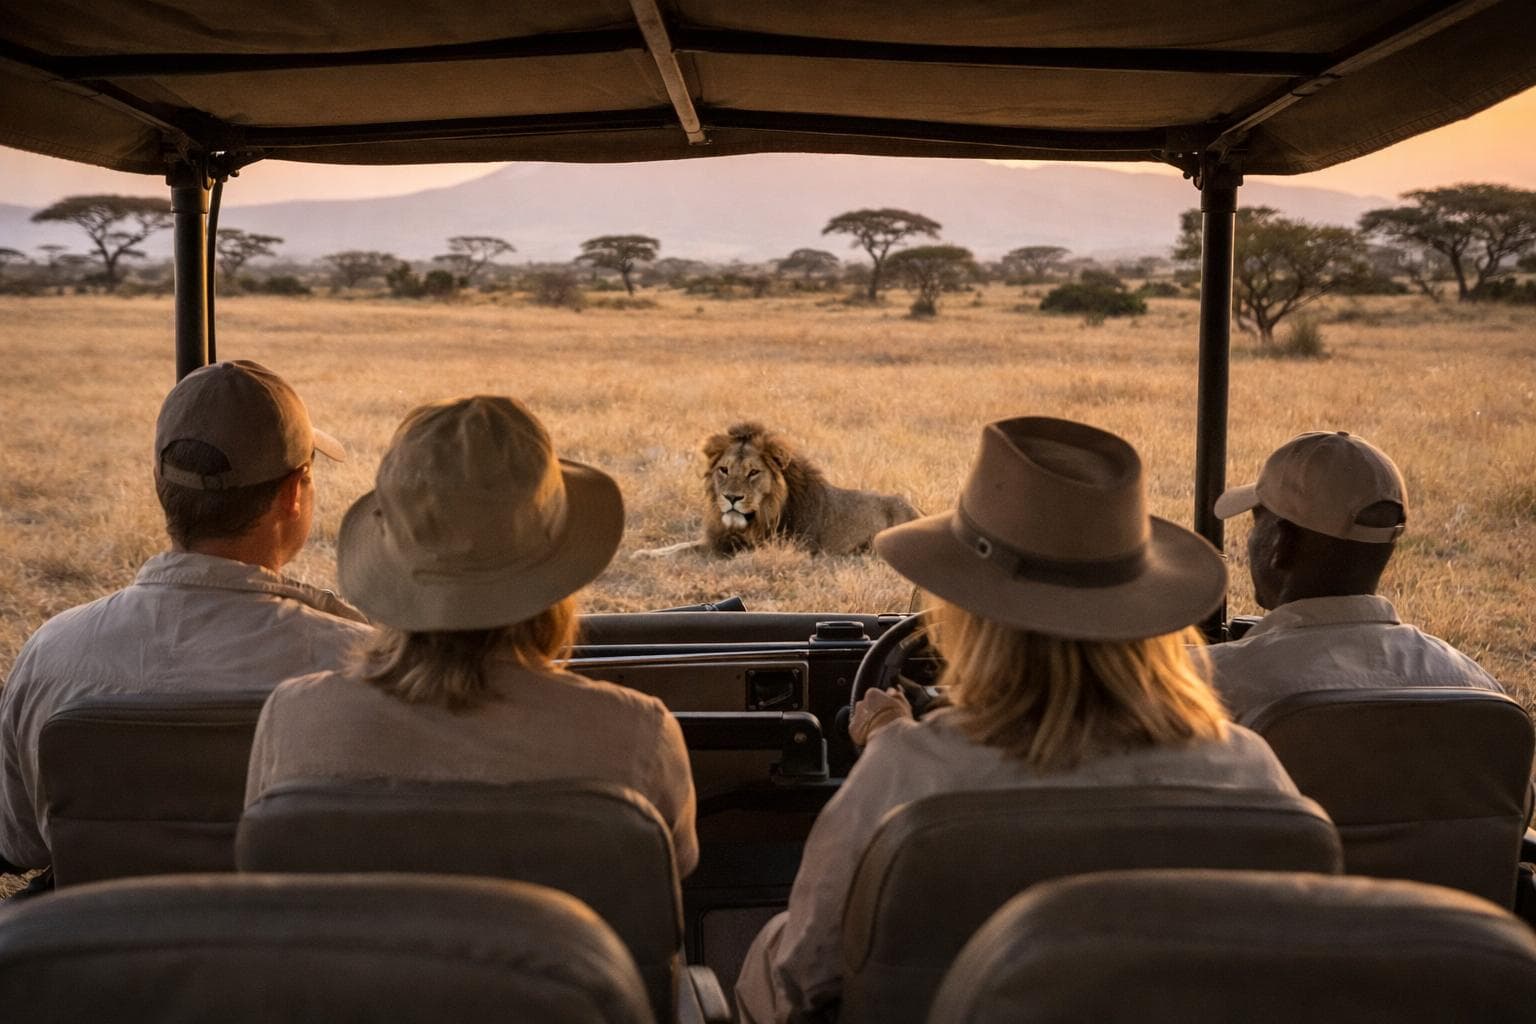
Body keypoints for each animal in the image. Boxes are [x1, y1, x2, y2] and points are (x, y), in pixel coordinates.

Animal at [634, 422, 920, 558]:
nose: (731, 498)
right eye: (724, 470)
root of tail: (919, 512)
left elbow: (690, 549)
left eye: (753, 472)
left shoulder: (750, 546)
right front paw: (643, 553)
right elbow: (682, 545)